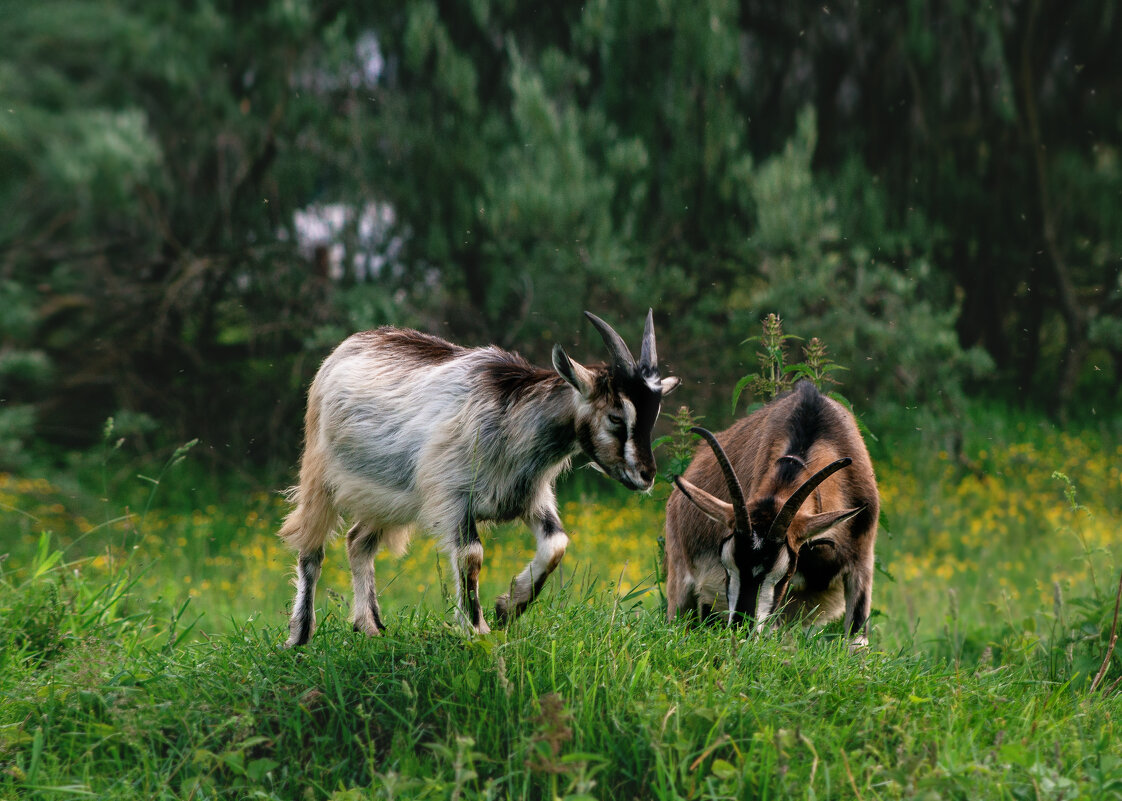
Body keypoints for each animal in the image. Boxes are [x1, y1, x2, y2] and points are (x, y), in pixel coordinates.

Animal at [276, 309, 677, 646]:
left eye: (653, 415)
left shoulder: (531, 496)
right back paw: (300, 635)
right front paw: (478, 628)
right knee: (311, 548)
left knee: (358, 541)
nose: (646, 475)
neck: (512, 417)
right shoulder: (453, 496)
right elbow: (472, 556)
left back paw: (370, 626)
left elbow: (556, 545)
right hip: (321, 474)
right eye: (615, 417)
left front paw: (508, 607)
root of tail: (345, 348)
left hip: (388, 494)